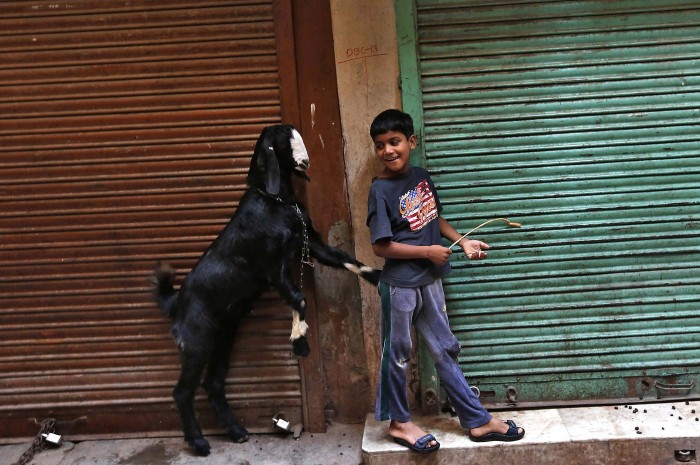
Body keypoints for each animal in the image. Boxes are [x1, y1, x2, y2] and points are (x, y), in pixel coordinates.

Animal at [152, 124, 380, 456]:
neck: (277, 202)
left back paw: (236, 431)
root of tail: (177, 300)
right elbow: (298, 298)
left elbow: (346, 259)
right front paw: (299, 342)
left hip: (224, 336)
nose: (305, 162)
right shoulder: (271, 267)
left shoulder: (309, 244)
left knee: (213, 383)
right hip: (197, 341)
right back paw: (199, 442)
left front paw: (379, 276)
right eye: (283, 143)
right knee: (182, 391)